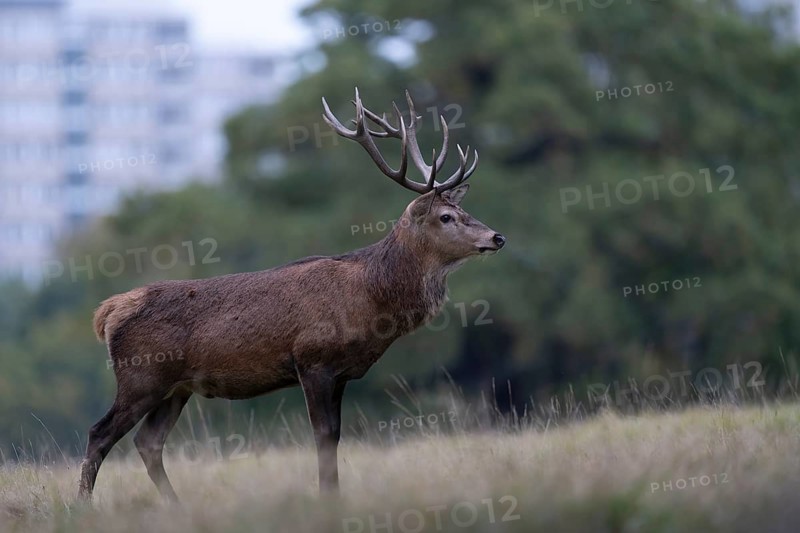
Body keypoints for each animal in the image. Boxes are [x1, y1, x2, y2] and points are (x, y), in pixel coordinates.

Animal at [77, 88, 506, 502]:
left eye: (464, 211)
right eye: (445, 217)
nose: (497, 237)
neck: (371, 301)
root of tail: (107, 312)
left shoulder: (342, 373)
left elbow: (335, 437)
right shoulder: (312, 360)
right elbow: (322, 436)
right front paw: (328, 501)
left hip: (175, 388)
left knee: (148, 442)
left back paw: (176, 507)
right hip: (141, 376)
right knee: (99, 434)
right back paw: (84, 507)